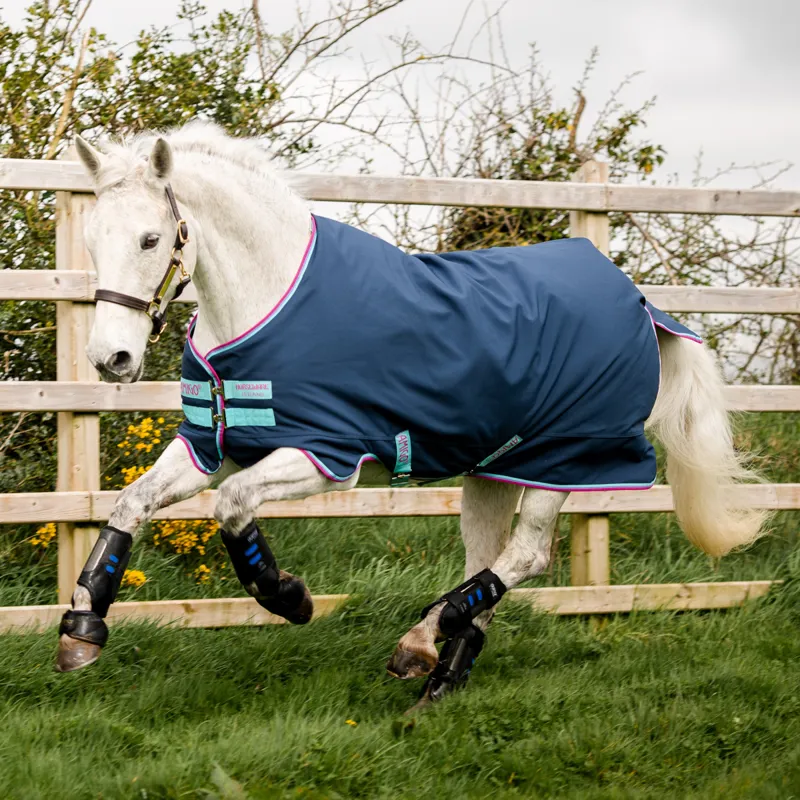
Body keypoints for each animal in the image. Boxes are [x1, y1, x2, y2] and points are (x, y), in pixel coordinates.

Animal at [55, 122, 767, 706]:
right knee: (489, 560)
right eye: (92, 239)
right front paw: (82, 630)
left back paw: (421, 639)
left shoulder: (326, 455)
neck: (268, 303)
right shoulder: (211, 444)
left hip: (566, 462)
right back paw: (439, 675)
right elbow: (130, 504)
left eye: (151, 239)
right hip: (493, 472)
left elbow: (232, 507)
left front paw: (289, 598)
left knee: (526, 556)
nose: (111, 358)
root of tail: (642, 304)